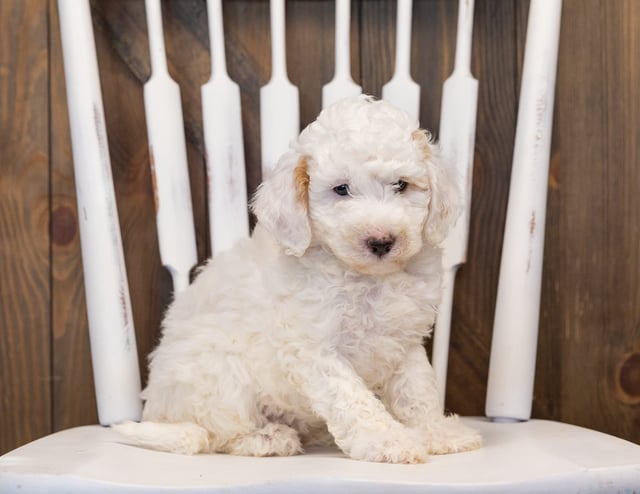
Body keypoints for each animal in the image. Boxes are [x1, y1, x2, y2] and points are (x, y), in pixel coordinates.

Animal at [117, 96, 482, 464]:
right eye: (341, 190)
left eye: (401, 185)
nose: (381, 241)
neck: (367, 277)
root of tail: (156, 411)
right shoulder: (315, 349)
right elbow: (353, 399)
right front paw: (386, 440)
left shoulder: (405, 341)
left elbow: (418, 390)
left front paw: (437, 432)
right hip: (218, 370)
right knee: (215, 433)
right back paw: (267, 438)